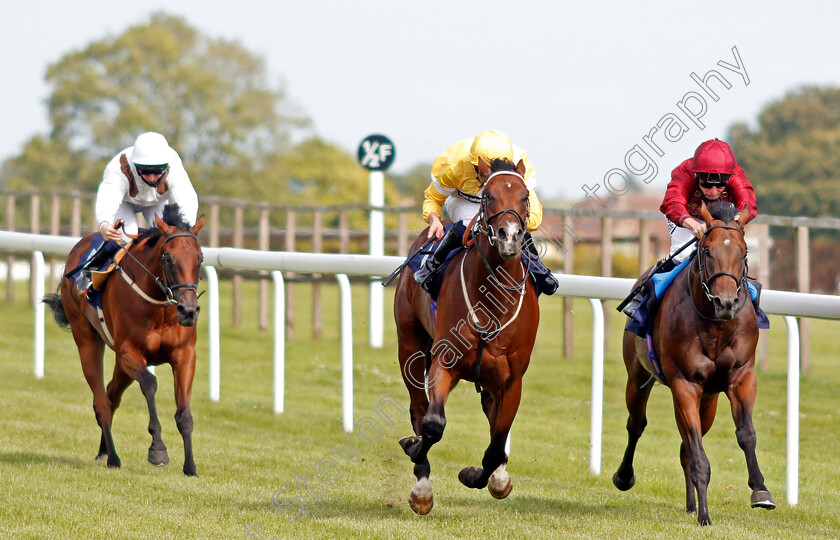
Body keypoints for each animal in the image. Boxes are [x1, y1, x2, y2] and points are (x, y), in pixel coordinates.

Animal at [44, 205, 205, 474]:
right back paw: (113, 457)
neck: (159, 308)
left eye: (200, 258)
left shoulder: (184, 355)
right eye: (168, 258)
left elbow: (184, 414)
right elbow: (150, 383)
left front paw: (190, 466)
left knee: (112, 395)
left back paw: (103, 451)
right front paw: (158, 449)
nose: (189, 311)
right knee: (102, 402)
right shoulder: (129, 352)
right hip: (87, 340)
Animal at [392, 157, 540, 516]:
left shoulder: (512, 379)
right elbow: (433, 424)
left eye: (525, 196)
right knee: (418, 408)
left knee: (490, 414)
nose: (510, 236)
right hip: (410, 348)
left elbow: (496, 444)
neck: (493, 301)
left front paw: (481, 476)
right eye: (487, 196)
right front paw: (414, 452)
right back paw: (421, 479)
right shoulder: (444, 363)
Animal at [612, 200, 776, 524]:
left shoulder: (741, 377)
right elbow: (698, 452)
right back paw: (624, 476)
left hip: (708, 400)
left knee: (686, 444)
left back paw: (690, 503)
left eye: (744, 252)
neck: (716, 326)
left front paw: (760, 491)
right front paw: (704, 515)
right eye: (707, 250)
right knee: (637, 424)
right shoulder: (685, 384)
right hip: (638, 378)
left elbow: (746, 434)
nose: (726, 302)